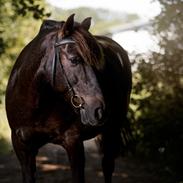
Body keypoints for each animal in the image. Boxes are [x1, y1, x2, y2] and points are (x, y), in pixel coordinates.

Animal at [5, 14, 132, 183]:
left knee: (107, 166)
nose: (99, 110)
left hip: (113, 130)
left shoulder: (74, 143)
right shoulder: (22, 147)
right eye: (74, 60)